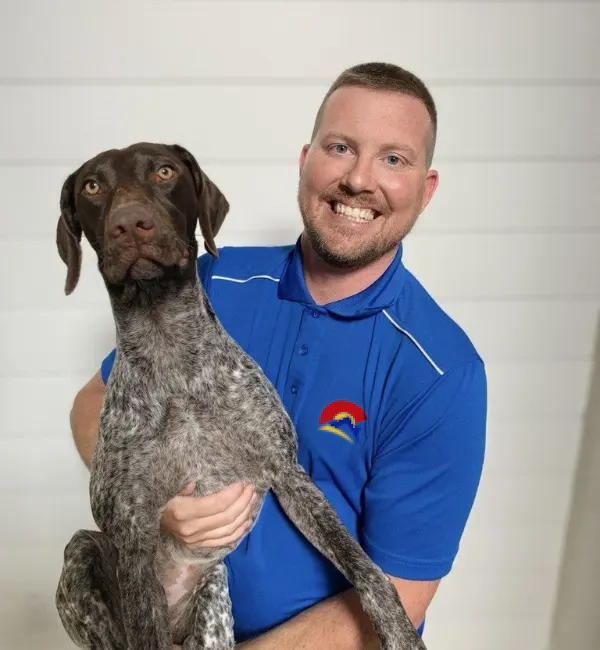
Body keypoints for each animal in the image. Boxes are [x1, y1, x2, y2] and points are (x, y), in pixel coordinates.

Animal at [52, 143, 426, 648]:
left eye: (164, 171)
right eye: (92, 186)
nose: (129, 224)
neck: (169, 351)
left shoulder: (287, 473)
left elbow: (367, 569)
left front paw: (399, 631)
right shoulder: (130, 534)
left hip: (214, 606)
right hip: (83, 555)